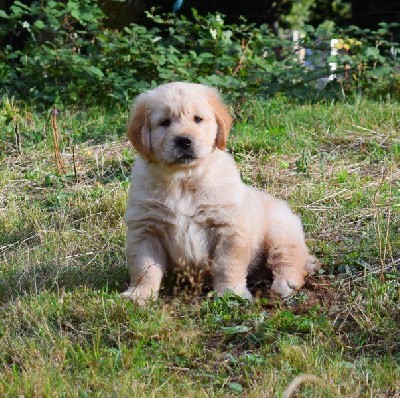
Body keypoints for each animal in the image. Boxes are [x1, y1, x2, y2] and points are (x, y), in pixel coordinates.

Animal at [122, 82, 318, 304]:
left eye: (197, 119)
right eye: (164, 122)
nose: (184, 141)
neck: (184, 180)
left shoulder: (228, 228)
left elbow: (227, 264)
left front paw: (231, 293)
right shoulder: (145, 229)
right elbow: (144, 267)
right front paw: (139, 294)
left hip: (281, 228)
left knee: (288, 255)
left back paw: (286, 283)